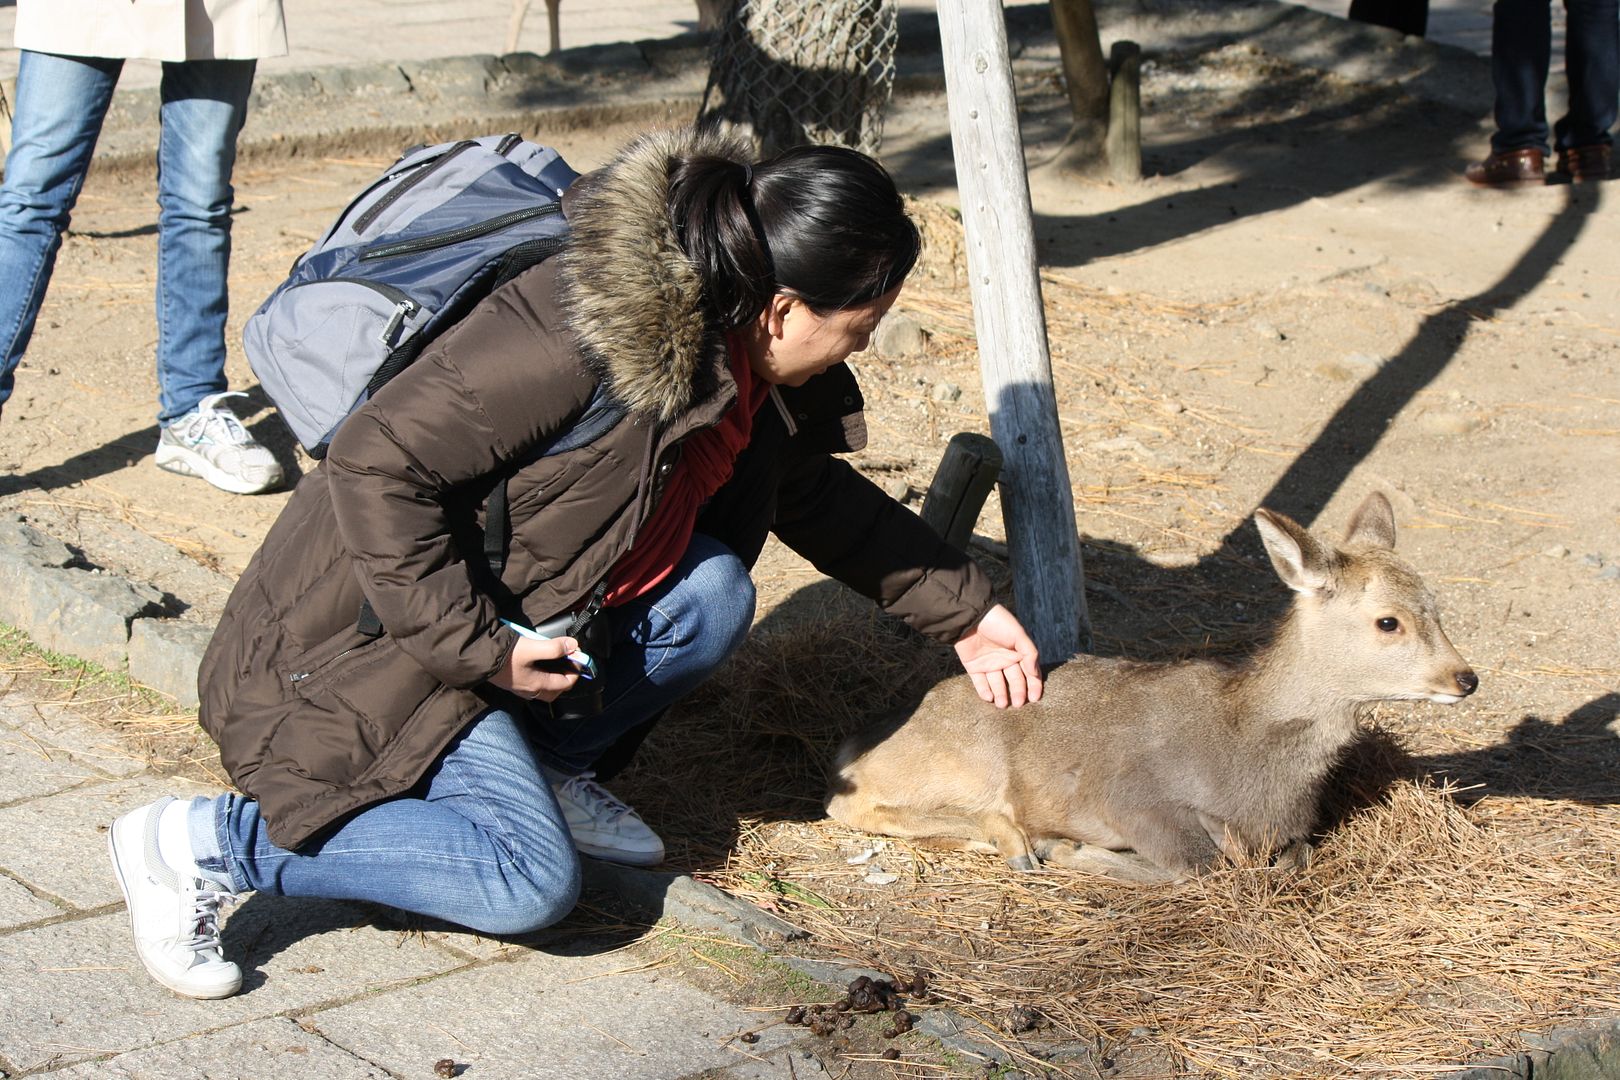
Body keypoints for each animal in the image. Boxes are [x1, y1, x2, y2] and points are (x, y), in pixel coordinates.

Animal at [829, 495, 1477, 880]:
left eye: (1438, 606)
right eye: (1388, 621)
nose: (1466, 678)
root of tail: (852, 744)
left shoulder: (1295, 831)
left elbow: (1294, 857)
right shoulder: (1132, 797)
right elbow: (1202, 865)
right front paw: (1071, 848)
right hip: (972, 759)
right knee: (851, 804)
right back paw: (1018, 842)